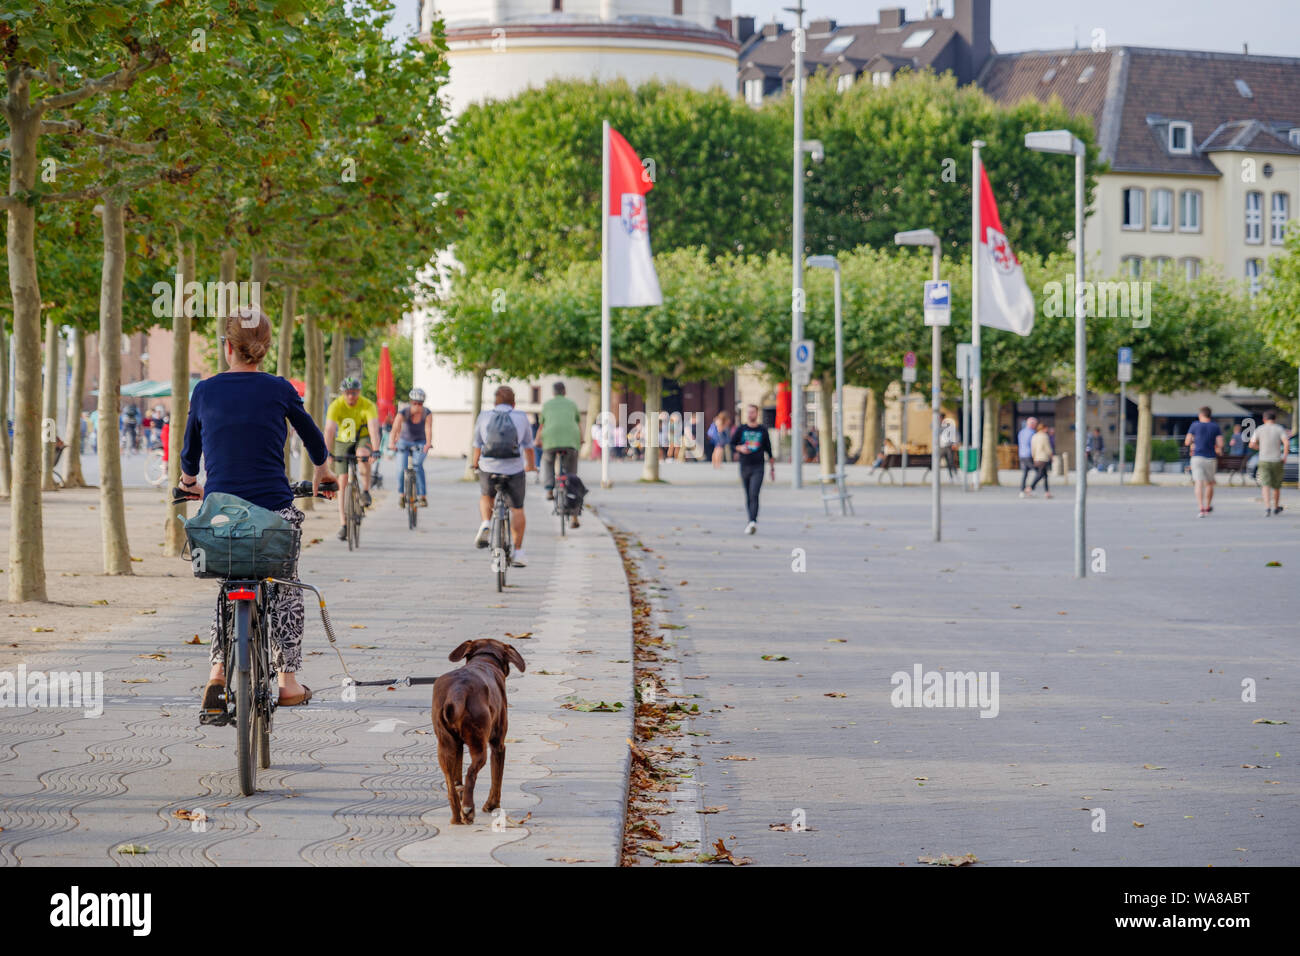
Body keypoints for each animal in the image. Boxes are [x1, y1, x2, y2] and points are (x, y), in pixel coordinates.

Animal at [431, 642, 522, 822]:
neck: (484, 659)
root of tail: (458, 691)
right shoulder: (498, 745)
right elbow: (496, 778)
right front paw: (492, 805)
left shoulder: (458, 745)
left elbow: (457, 773)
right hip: (479, 744)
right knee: (471, 773)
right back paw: (468, 808)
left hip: (445, 746)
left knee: (451, 785)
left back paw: (457, 817)